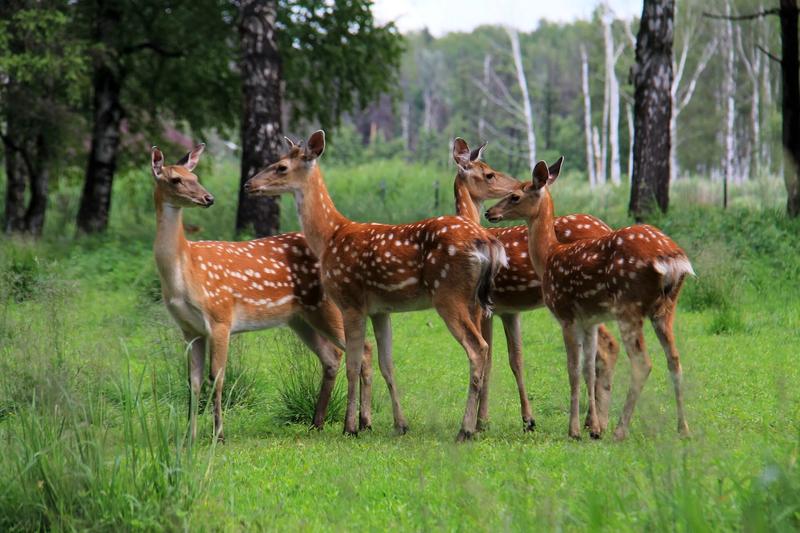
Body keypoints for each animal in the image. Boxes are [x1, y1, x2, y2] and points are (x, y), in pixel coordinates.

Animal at [150, 142, 372, 440]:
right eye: (176, 179)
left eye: (194, 177)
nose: (208, 198)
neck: (185, 272)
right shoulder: (189, 328)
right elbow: (193, 381)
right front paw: (189, 436)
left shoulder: (220, 316)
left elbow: (216, 377)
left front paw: (219, 435)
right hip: (300, 318)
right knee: (331, 356)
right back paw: (317, 422)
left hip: (330, 307)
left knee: (363, 350)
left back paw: (362, 423)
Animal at [244, 130, 506, 440]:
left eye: (281, 166)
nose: (248, 184)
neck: (330, 236)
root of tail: (485, 240)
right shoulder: (381, 310)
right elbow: (387, 363)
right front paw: (398, 424)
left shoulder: (350, 301)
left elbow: (353, 363)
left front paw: (350, 427)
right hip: (474, 299)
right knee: (484, 349)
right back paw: (474, 426)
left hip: (448, 294)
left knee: (478, 348)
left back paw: (465, 430)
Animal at [454, 138, 620, 432]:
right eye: (489, 173)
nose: (490, 210)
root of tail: (606, 227)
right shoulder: (507, 310)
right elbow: (510, 358)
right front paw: (522, 419)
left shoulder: (483, 307)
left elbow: (488, 356)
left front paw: (481, 422)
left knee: (607, 348)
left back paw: (594, 422)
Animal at [484, 158, 692, 440]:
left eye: (515, 195)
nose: (489, 212)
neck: (549, 255)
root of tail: (672, 258)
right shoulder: (589, 319)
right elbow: (588, 368)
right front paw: (592, 427)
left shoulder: (566, 314)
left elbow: (572, 368)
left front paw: (574, 430)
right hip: (666, 308)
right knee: (674, 360)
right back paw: (683, 429)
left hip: (629, 306)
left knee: (642, 363)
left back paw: (620, 430)